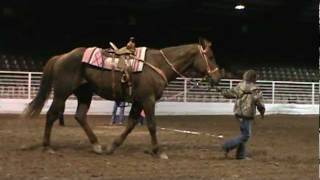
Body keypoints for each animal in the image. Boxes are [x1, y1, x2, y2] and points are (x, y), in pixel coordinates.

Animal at [22, 38, 221, 159]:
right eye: (210, 56)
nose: (218, 78)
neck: (157, 64)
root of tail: (62, 56)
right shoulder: (148, 100)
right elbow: (152, 125)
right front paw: (159, 151)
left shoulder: (138, 101)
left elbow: (131, 124)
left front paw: (112, 146)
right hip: (62, 93)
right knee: (51, 115)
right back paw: (47, 146)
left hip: (84, 93)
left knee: (80, 116)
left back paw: (97, 145)